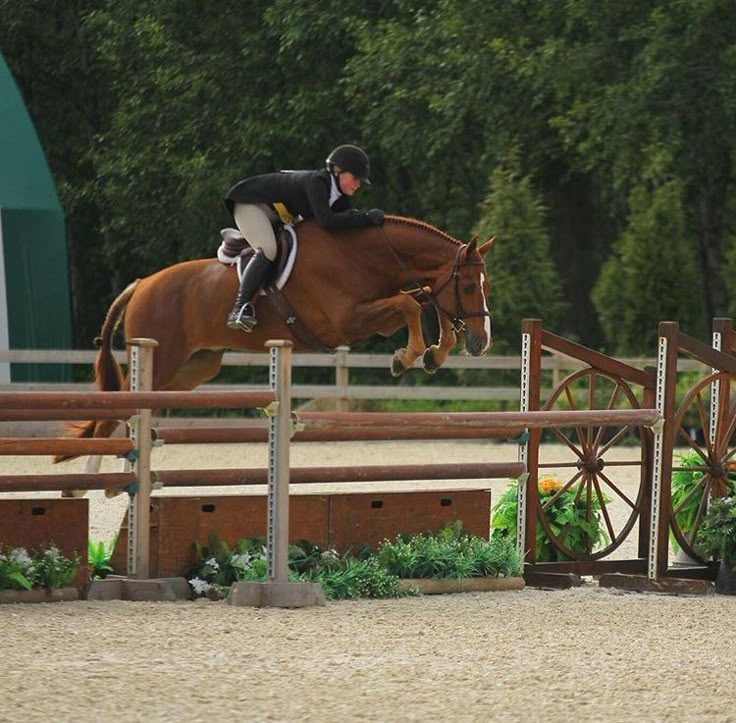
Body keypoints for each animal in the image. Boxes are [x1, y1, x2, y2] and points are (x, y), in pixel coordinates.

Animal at [67, 216, 494, 446]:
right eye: (468, 287)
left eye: (484, 285)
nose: (481, 343)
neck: (363, 255)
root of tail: (140, 285)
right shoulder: (346, 322)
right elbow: (410, 303)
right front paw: (405, 358)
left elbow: (423, 299)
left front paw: (435, 353)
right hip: (162, 359)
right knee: (112, 413)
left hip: (192, 369)